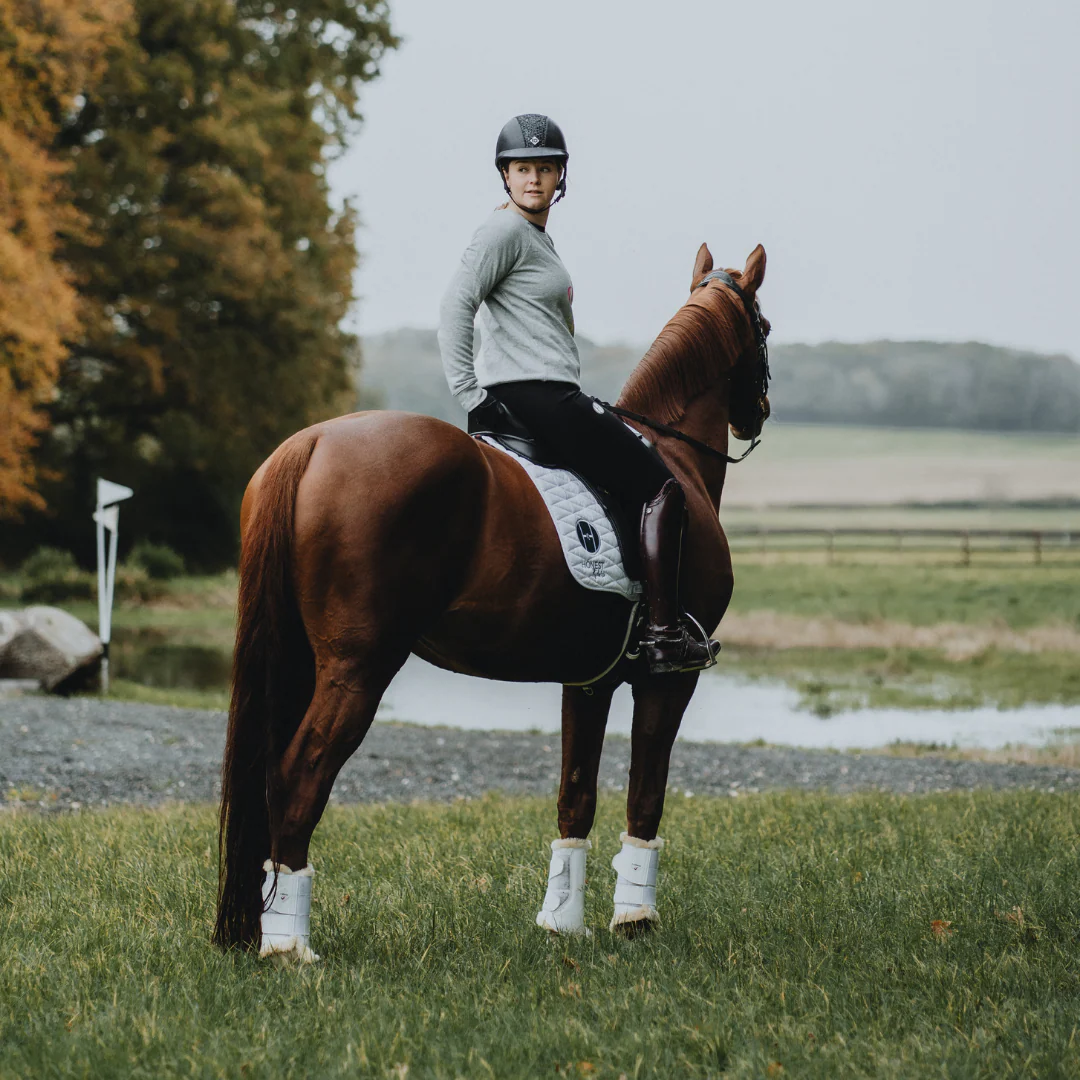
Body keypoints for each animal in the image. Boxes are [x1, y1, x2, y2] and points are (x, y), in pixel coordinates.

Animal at [214, 242, 770, 958]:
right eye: (764, 326)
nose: (758, 410)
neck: (675, 455)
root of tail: (310, 443)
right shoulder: (667, 680)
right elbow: (646, 794)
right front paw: (635, 920)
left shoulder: (588, 680)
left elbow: (576, 796)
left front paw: (562, 921)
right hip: (356, 669)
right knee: (298, 775)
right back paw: (291, 947)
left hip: (301, 661)